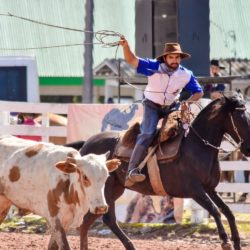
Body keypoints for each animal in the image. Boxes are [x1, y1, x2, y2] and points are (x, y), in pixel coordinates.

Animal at [73, 95, 250, 250]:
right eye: (241, 117)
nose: (247, 149)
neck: (197, 145)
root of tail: (86, 144)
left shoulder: (209, 188)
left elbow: (228, 211)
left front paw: (237, 242)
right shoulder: (195, 190)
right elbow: (215, 210)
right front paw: (225, 241)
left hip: (115, 189)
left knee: (92, 221)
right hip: (106, 189)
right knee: (103, 219)